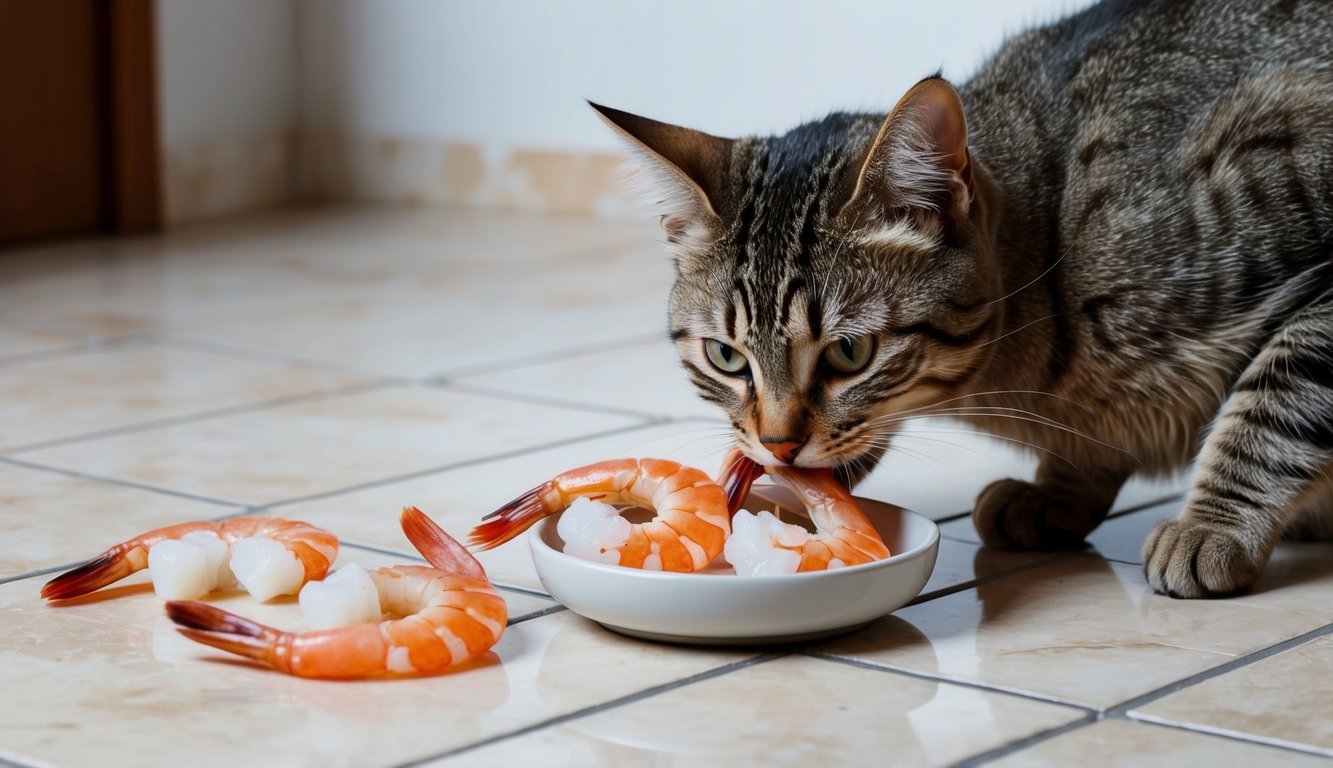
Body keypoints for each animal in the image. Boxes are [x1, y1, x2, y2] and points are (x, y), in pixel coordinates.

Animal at [597, 0, 1333, 600]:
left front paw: (1212, 524)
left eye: (849, 353)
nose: (777, 447)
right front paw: (1060, 490)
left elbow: (1273, 406)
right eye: (725, 356)